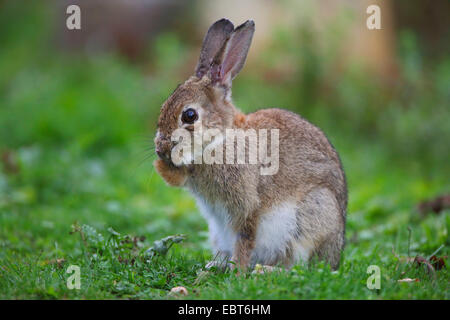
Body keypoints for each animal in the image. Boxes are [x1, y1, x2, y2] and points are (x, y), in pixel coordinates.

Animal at [153, 18, 346, 272]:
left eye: (189, 115)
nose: (160, 149)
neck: (221, 138)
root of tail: (336, 256)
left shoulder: (247, 206)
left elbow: (245, 237)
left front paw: (238, 270)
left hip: (315, 214)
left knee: (300, 267)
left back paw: (264, 271)